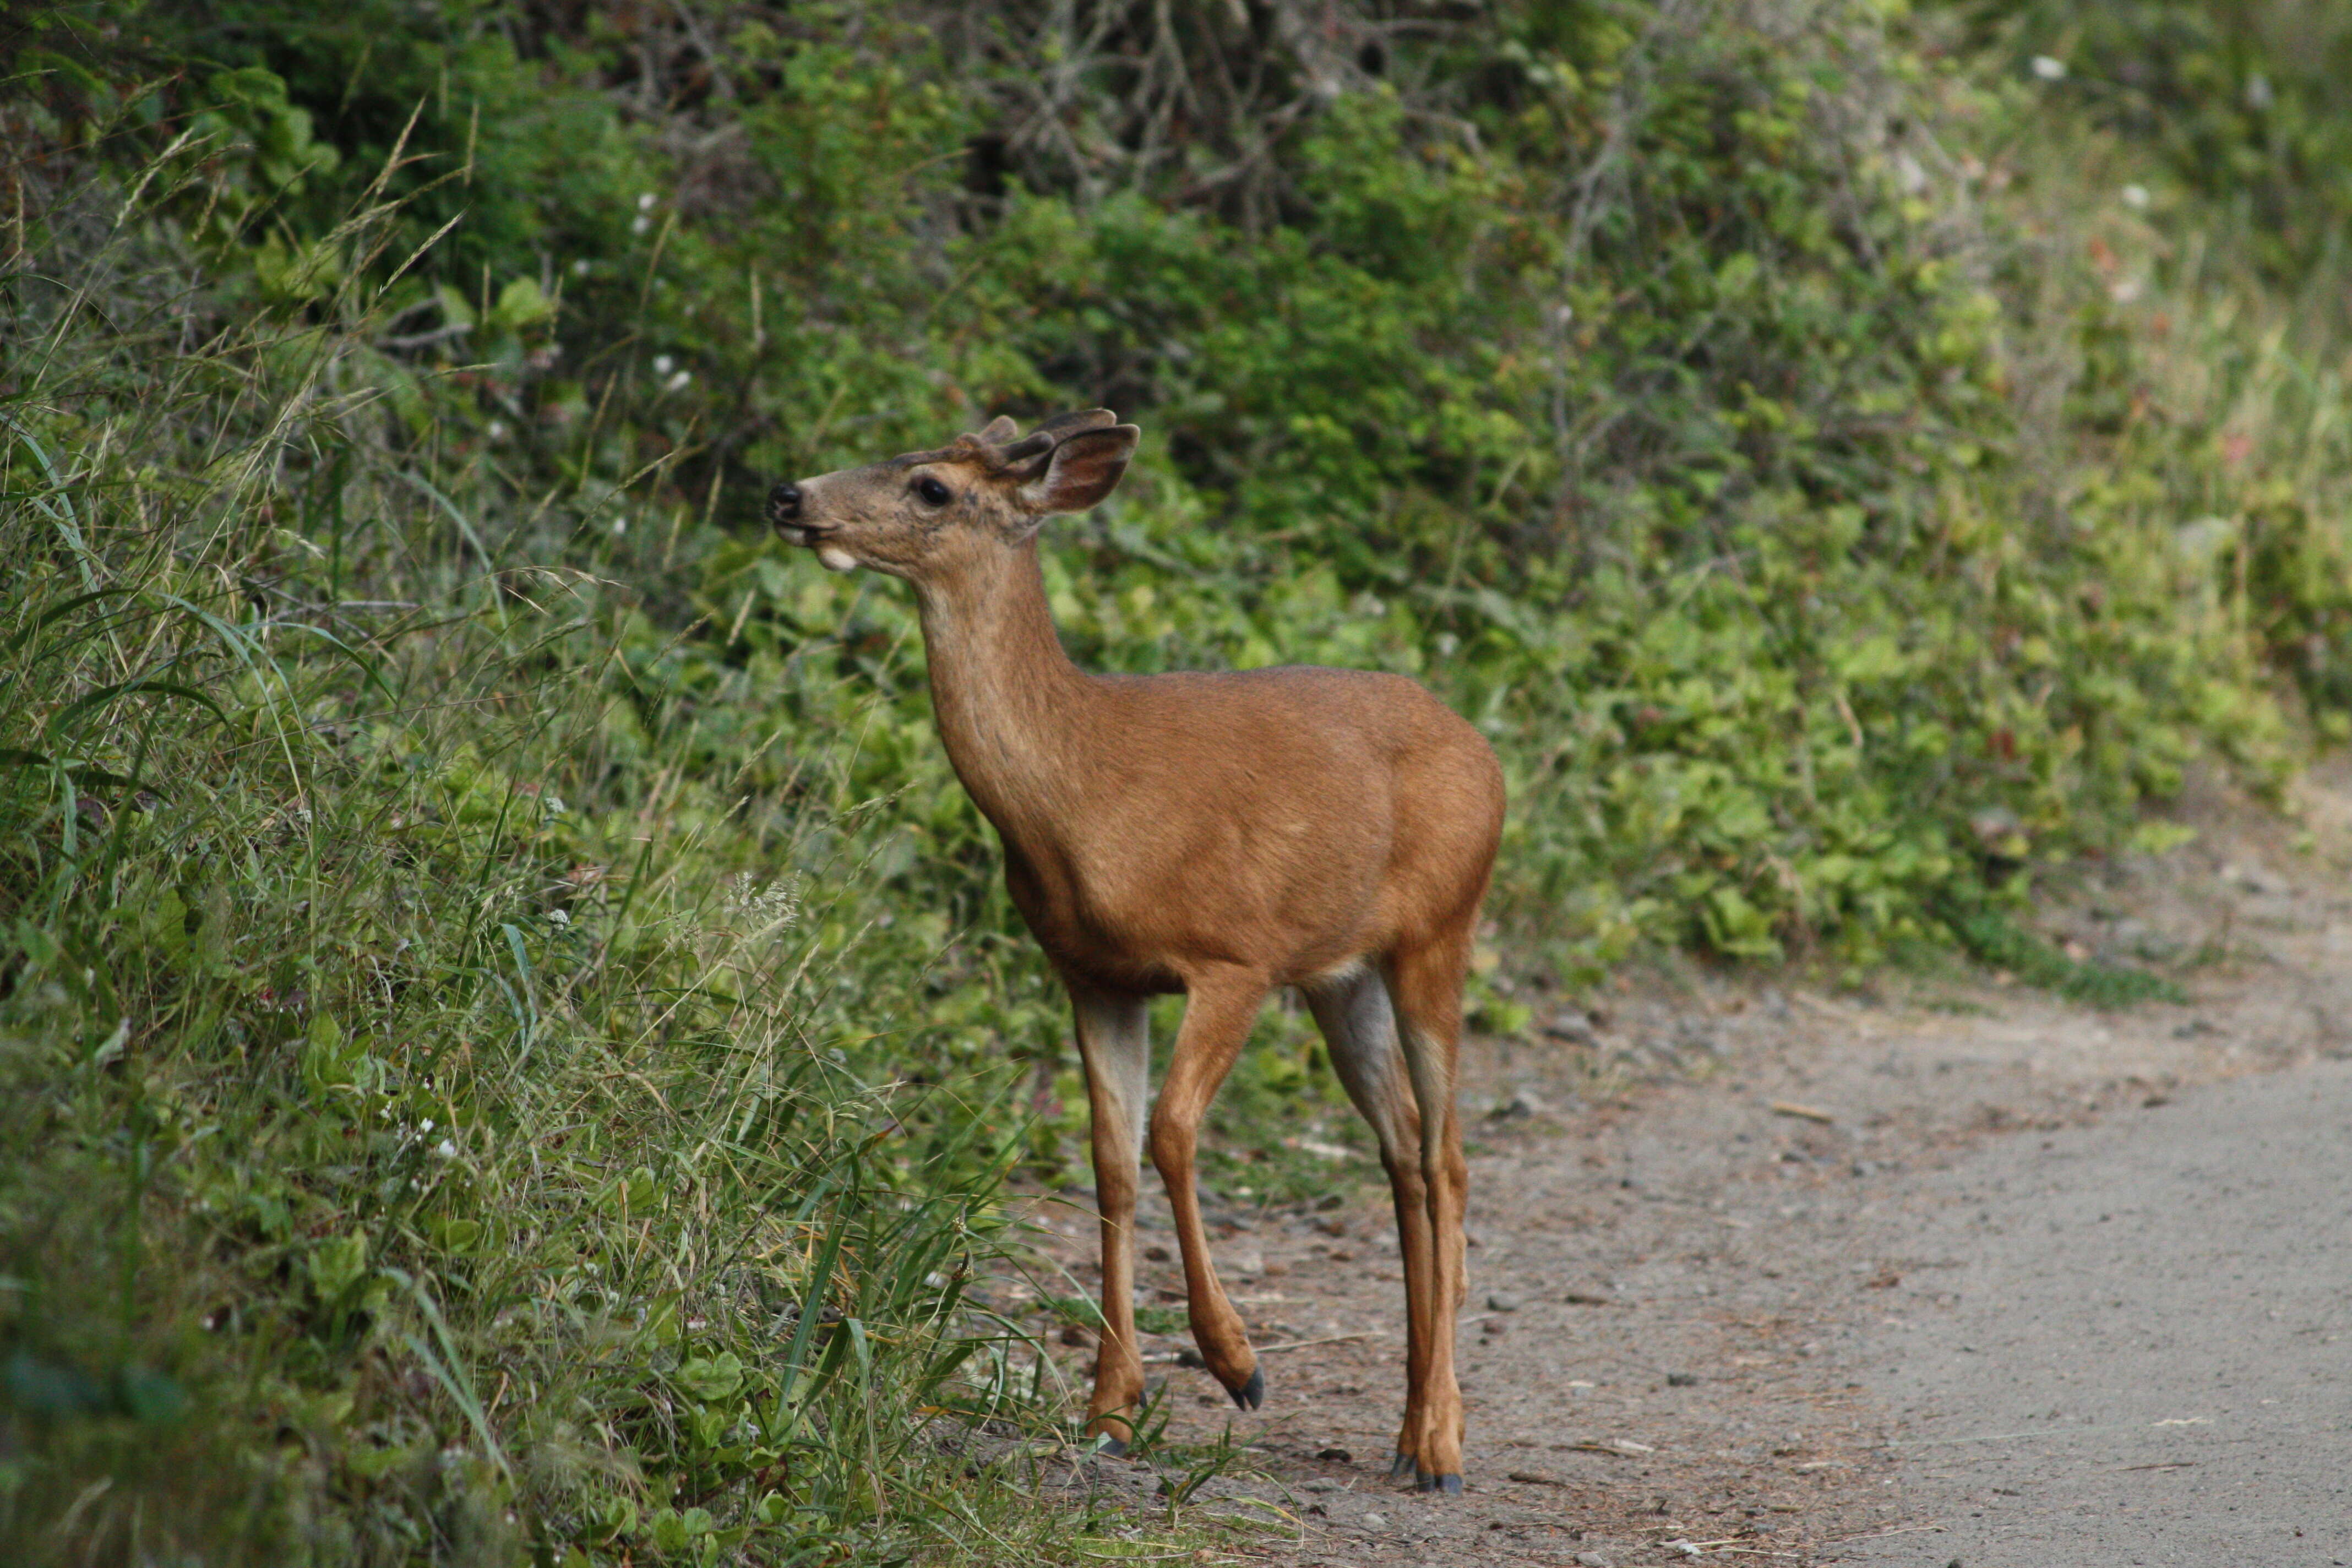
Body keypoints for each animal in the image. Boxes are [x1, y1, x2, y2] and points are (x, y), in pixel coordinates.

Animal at [771, 411, 1505, 1495]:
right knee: (1404, 1150)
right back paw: (1410, 1430)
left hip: (1439, 932)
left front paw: (1237, 1363)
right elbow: (1111, 1159)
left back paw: (1447, 1444)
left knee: (1449, 1157)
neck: (1078, 795)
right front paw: (1110, 1408)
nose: (789, 495)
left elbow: (1171, 1132)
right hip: (1342, 976)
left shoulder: (1233, 956)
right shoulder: (1093, 976)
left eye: (931, 486)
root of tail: (1486, 753)